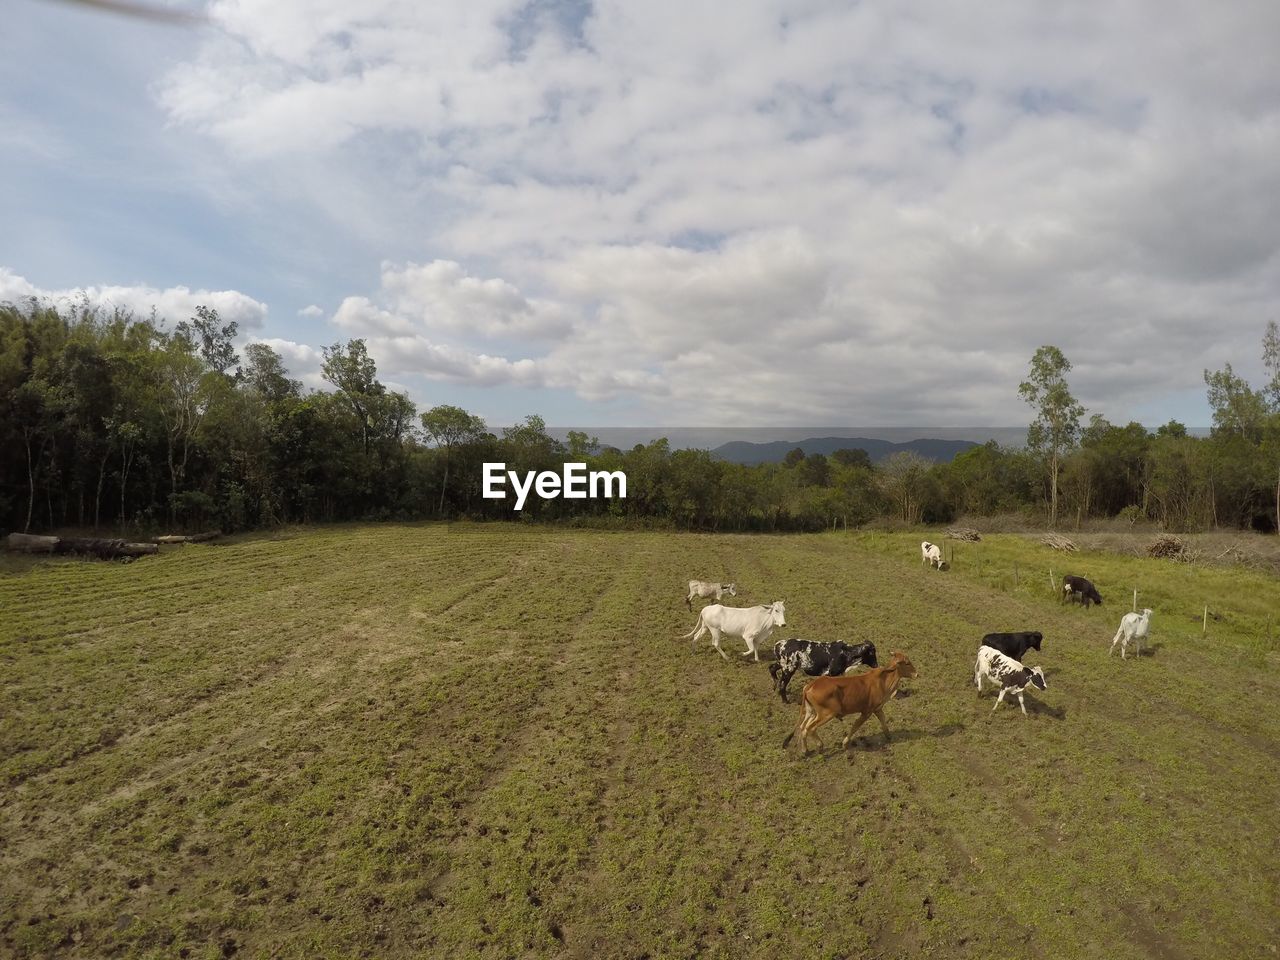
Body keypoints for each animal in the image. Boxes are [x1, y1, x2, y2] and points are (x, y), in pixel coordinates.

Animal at [778, 650, 921, 757]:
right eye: (907, 663)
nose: (916, 674)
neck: (883, 680)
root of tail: (811, 685)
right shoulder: (867, 712)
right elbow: (855, 726)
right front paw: (845, 743)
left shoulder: (877, 709)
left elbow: (883, 721)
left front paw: (889, 736)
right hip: (826, 714)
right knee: (810, 728)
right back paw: (820, 746)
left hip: (811, 712)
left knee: (803, 727)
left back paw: (805, 751)